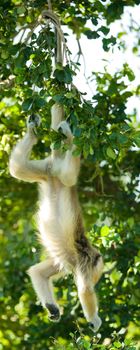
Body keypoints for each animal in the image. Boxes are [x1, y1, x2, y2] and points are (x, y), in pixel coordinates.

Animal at [8, 103, 103, 330]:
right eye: (96, 274)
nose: (97, 280)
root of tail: (56, 164)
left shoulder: (66, 263)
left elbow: (36, 272)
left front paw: (52, 308)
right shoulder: (85, 262)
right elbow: (85, 290)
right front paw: (94, 319)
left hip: (44, 171)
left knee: (17, 168)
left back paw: (32, 132)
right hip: (61, 173)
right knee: (69, 176)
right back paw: (68, 135)